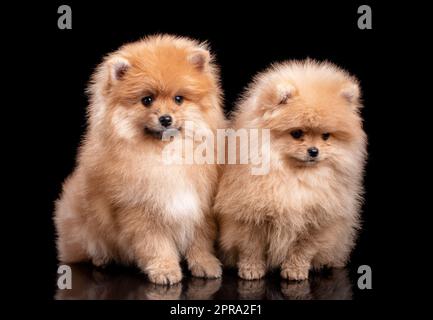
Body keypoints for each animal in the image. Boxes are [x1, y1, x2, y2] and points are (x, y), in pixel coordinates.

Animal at [54, 35, 226, 284]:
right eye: (147, 100)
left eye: (178, 99)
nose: (165, 118)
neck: (165, 156)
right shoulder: (140, 210)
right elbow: (155, 245)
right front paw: (165, 269)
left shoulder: (200, 206)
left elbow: (200, 241)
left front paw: (205, 264)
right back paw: (101, 259)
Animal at [214, 60, 366, 280]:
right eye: (296, 133)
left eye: (326, 136)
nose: (314, 151)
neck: (295, 177)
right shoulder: (249, 218)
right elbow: (251, 248)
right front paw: (251, 270)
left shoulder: (317, 222)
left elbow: (303, 250)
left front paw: (295, 271)